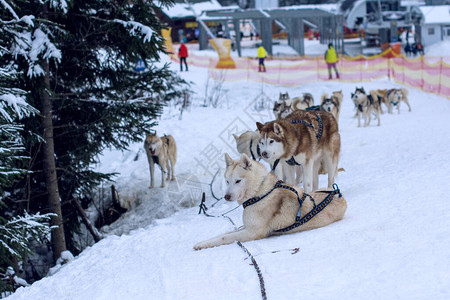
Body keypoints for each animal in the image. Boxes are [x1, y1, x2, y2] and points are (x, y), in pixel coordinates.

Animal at [192, 154, 346, 250]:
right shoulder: (245, 226)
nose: (227, 197)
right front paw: (203, 242)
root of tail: (338, 194)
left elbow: (225, 238)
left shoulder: (252, 232)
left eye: (238, 181)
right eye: (227, 181)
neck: (260, 192)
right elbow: (225, 233)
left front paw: (204, 245)